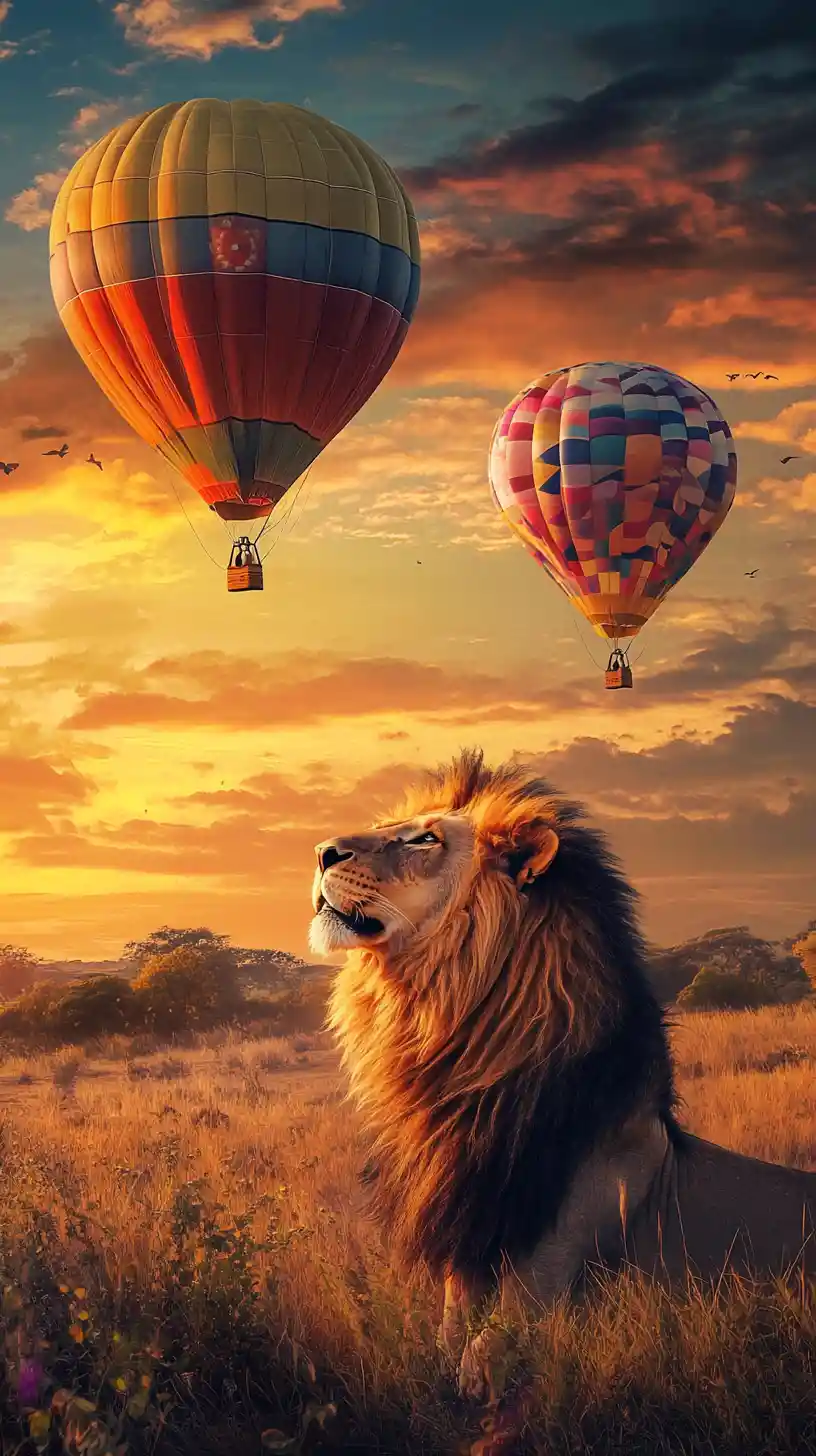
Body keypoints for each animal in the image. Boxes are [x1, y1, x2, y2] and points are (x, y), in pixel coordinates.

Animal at [308, 748, 816, 1401]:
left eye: (425, 839)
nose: (322, 851)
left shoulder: (561, 1246)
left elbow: (485, 1354)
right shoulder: (467, 1239)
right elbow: (449, 1336)